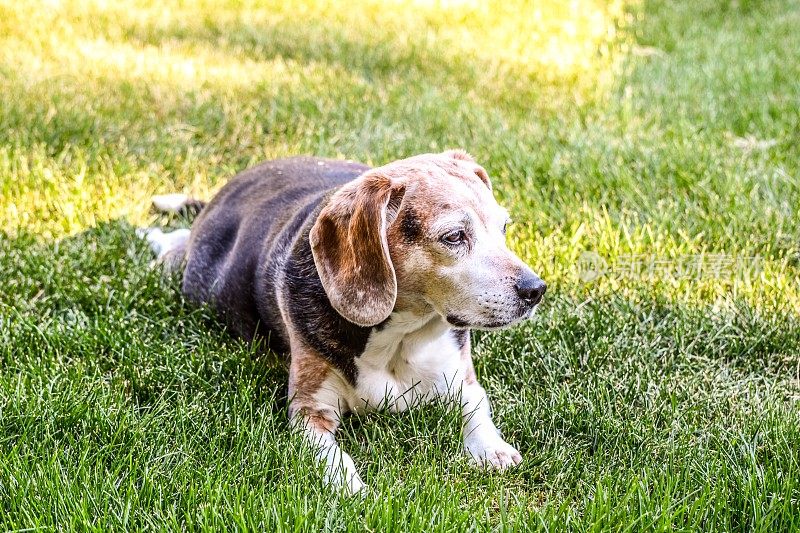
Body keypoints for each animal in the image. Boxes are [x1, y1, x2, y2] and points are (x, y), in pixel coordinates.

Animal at [141, 149, 548, 490]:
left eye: (503, 228)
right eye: (454, 236)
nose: (536, 289)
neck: (400, 338)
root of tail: (232, 184)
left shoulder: (460, 375)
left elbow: (477, 406)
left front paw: (491, 447)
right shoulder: (310, 411)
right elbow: (332, 456)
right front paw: (350, 487)